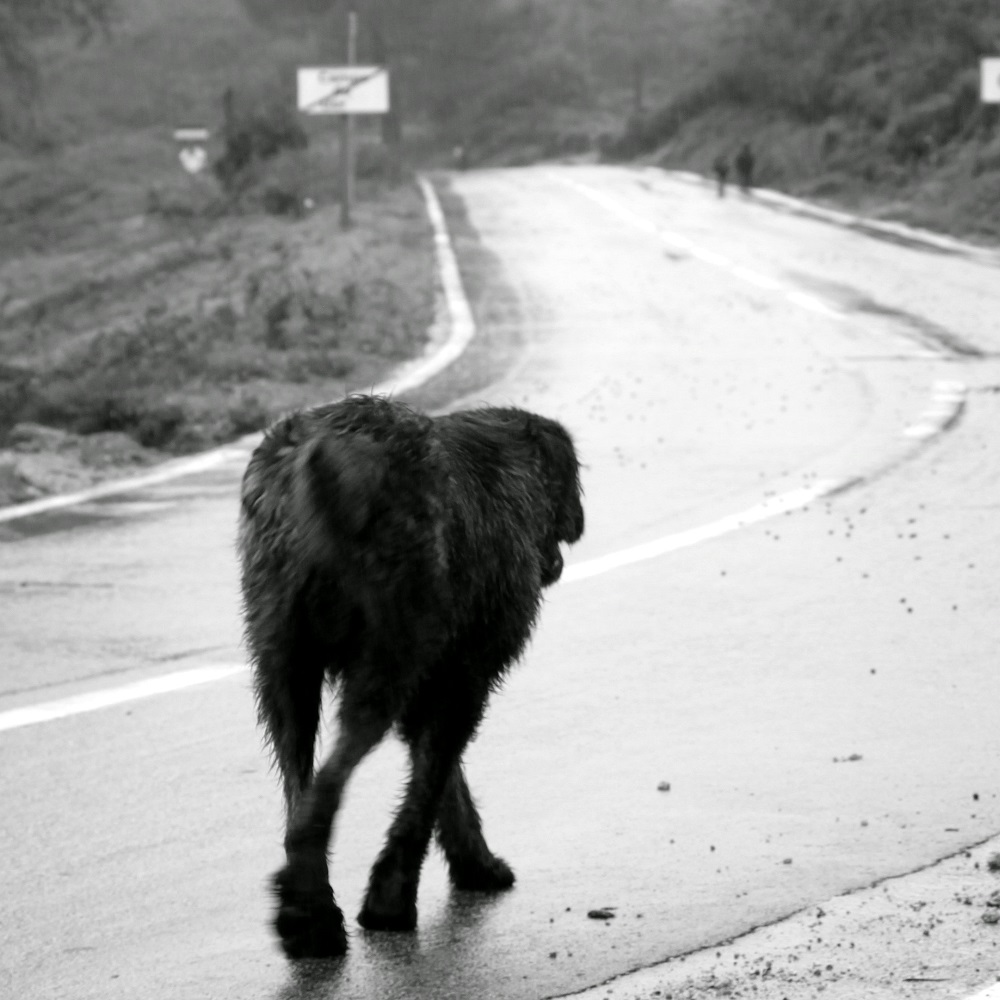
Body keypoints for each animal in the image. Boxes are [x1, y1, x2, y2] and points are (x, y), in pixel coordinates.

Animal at [239, 394, 584, 956]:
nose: (557, 553)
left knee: (298, 779)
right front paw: (392, 898)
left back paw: (310, 904)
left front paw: (472, 861)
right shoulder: (464, 674)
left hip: (283, 662)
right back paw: (312, 911)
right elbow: (430, 781)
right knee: (326, 786)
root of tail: (314, 457)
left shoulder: (441, 675)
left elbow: (440, 777)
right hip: (386, 653)